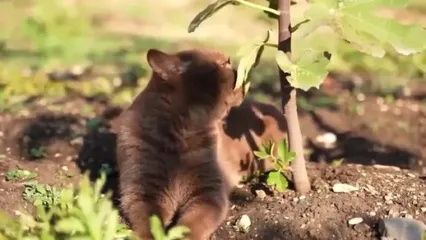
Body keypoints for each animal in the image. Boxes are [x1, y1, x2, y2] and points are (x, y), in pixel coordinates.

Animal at [115, 47, 243, 239]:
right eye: (223, 63)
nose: (239, 70)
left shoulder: (208, 195)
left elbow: (188, 227)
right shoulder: (143, 192)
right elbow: (149, 224)